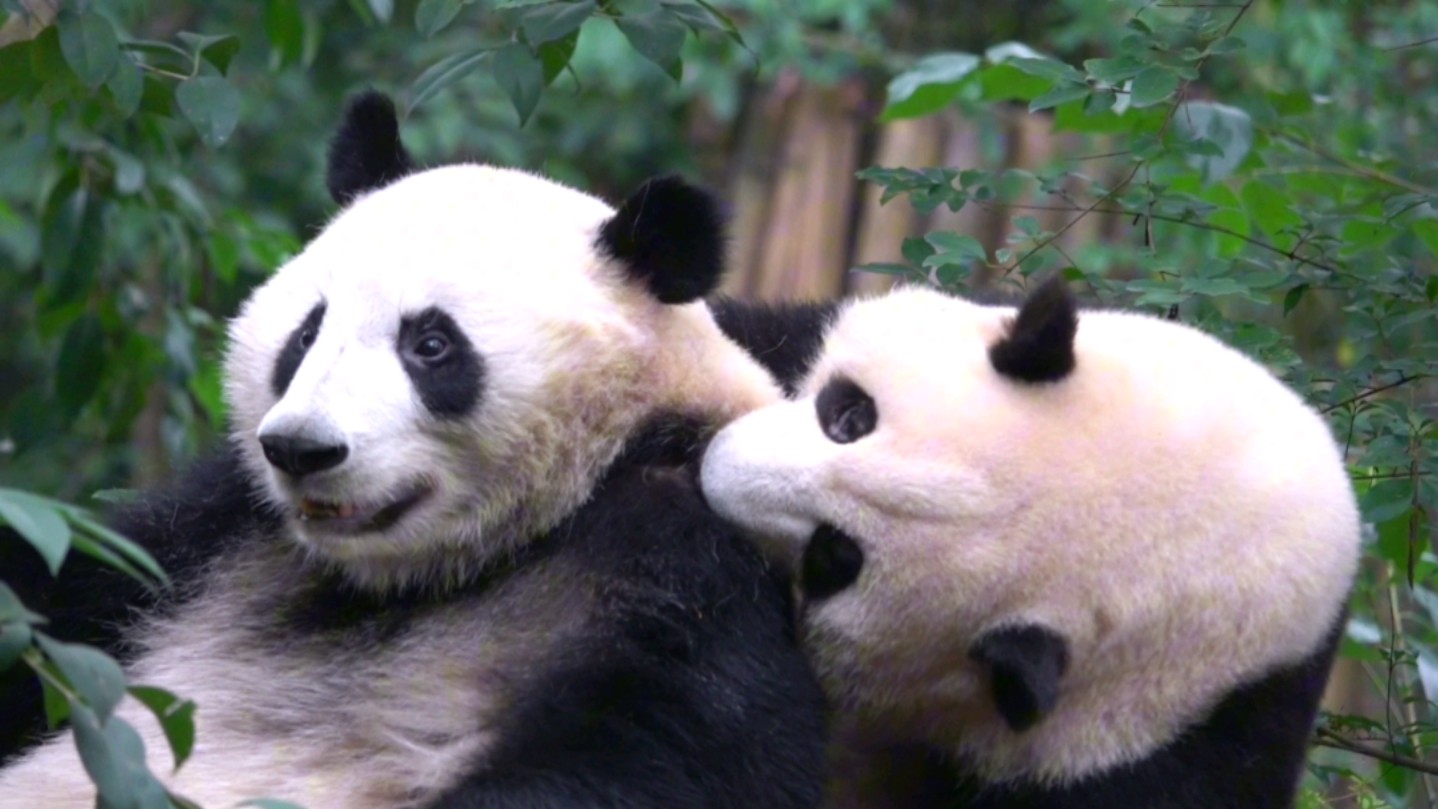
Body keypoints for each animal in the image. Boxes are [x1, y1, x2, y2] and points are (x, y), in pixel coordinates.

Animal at [0, 94, 828, 809]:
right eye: (308, 331)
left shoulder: (676, 562)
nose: (300, 449)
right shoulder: (213, 531)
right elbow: (65, 581)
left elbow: (657, 746)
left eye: (430, 344)